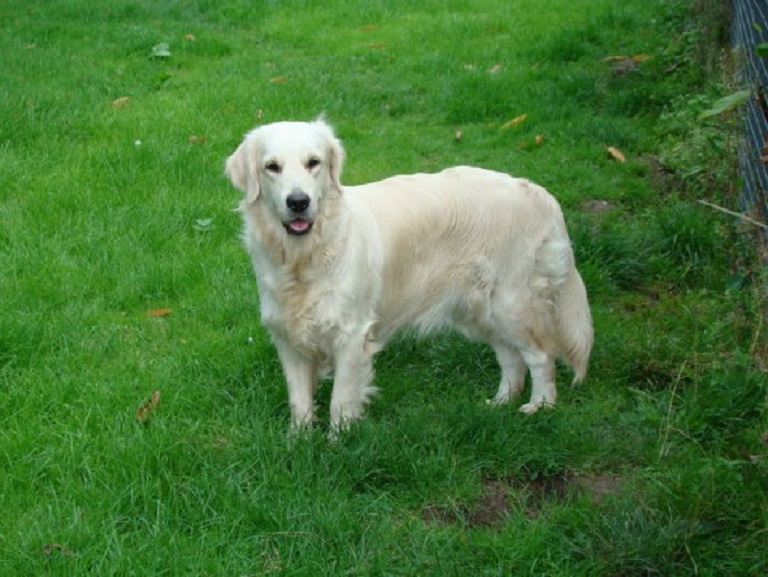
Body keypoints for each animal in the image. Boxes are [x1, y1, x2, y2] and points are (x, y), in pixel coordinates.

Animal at [224, 119, 592, 430]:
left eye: (314, 163)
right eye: (272, 167)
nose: (298, 202)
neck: (305, 256)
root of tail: (538, 193)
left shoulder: (351, 335)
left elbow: (340, 401)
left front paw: (337, 443)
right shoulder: (288, 337)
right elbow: (299, 401)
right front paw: (298, 444)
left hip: (512, 303)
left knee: (541, 355)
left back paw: (540, 407)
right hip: (481, 310)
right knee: (512, 358)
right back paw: (500, 404)